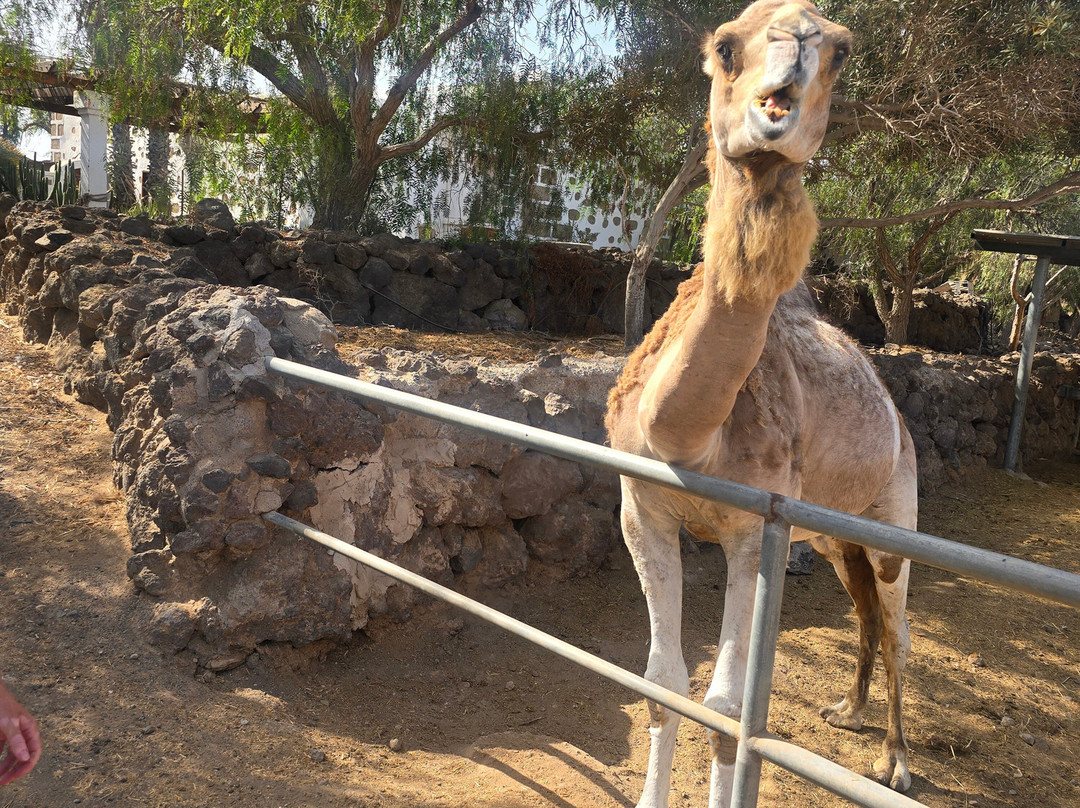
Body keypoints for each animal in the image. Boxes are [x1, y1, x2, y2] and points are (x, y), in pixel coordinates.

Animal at [604, 2, 916, 806]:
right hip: (833, 535)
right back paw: (847, 710)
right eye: (724, 45)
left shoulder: (752, 530)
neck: (690, 439)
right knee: (863, 610)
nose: (799, 39)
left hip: (896, 517)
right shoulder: (642, 510)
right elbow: (661, 684)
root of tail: (898, 418)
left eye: (842, 50)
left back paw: (896, 761)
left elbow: (721, 709)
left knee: (897, 626)